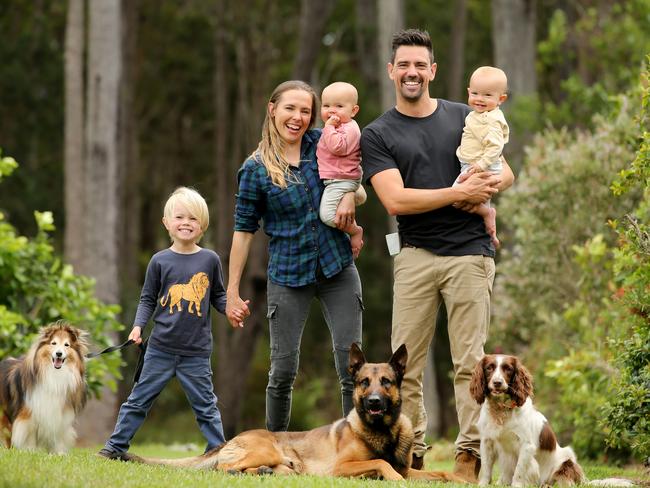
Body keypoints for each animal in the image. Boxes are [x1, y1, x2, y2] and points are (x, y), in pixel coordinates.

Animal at [0, 320, 88, 454]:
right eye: (53, 343)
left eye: (67, 345)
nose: (58, 353)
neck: (54, 374)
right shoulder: (29, 413)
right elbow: (29, 434)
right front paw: (30, 451)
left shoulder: (58, 414)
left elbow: (57, 435)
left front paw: (58, 453)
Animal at [124, 346, 460, 482]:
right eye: (365, 382)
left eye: (387, 382)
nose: (375, 402)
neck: (382, 432)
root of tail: (232, 439)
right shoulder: (341, 468)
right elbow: (380, 462)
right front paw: (388, 477)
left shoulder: (411, 469)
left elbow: (439, 473)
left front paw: (460, 478)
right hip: (266, 450)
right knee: (224, 468)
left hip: (282, 462)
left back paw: (264, 473)